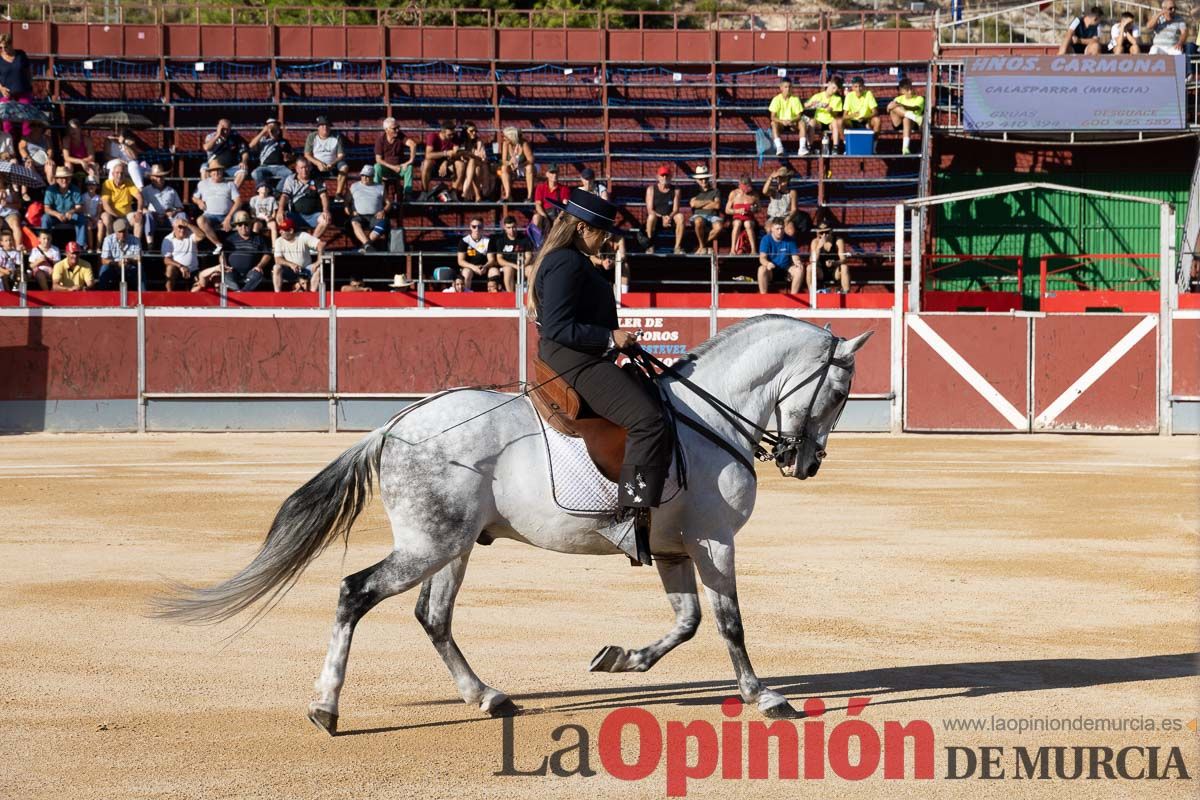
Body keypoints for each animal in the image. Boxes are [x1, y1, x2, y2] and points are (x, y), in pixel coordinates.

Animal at [157, 316, 873, 734]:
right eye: (838, 394)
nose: (807, 462)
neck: (708, 416)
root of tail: (394, 426)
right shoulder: (713, 541)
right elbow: (728, 623)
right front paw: (765, 696)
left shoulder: (674, 548)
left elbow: (688, 621)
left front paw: (622, 659)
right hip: (430, 543)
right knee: (356, 592)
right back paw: (326, 706)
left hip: (453, 547)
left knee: (433, 617)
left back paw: (488, 696)